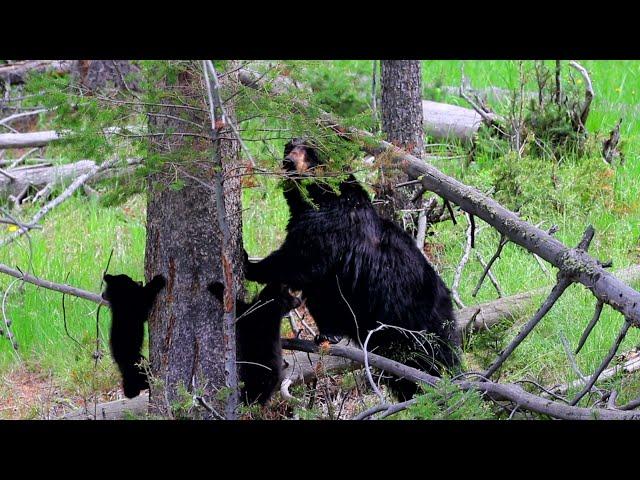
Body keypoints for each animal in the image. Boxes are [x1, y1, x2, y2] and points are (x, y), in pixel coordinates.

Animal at [100, 272, 165, 400]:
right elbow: (144, 302)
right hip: (138, 361)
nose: (140, 281)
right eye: (130, 278)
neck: (120, 300)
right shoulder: (134, 308)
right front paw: (157, 280)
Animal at [244, 139, 460, 402]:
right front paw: (327, 333)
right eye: (290, 146)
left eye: (311, 151)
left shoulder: (330, 226)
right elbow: (318, 291)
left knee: (436, 361)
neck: (317, 197)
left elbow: (300, 260)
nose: (289, 161)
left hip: (419, 327)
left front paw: (249, 263)